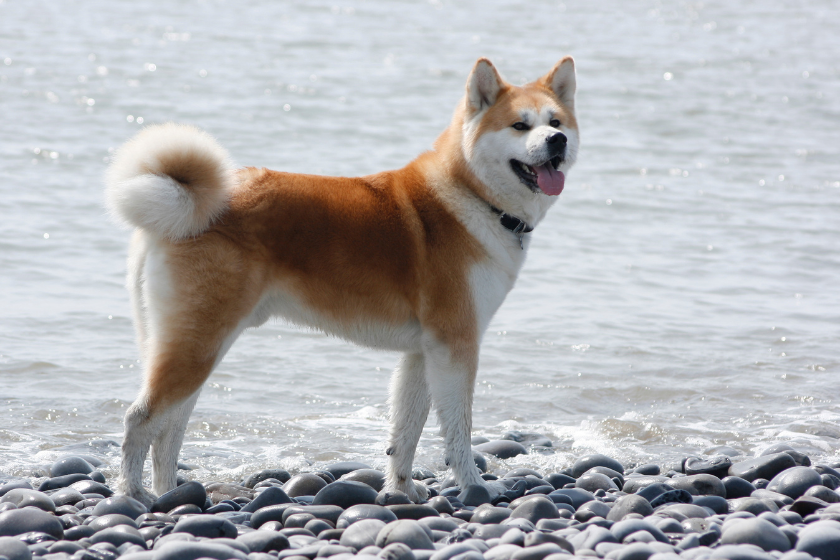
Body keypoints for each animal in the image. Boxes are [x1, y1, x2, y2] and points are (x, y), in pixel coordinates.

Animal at [105, 57, 576, 508]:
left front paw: (400, 490)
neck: (471, 197)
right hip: (198, 346)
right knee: (139, 420)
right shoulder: (455, 347)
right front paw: (475, 487)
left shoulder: (422, 353)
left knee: (169, 432)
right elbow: (458, 432)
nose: (557, 141)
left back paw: (171, 494)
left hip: (193, 347)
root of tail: (185, 206)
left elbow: (405, 434)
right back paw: (134, 494)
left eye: (555, 122)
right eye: (520, 125)